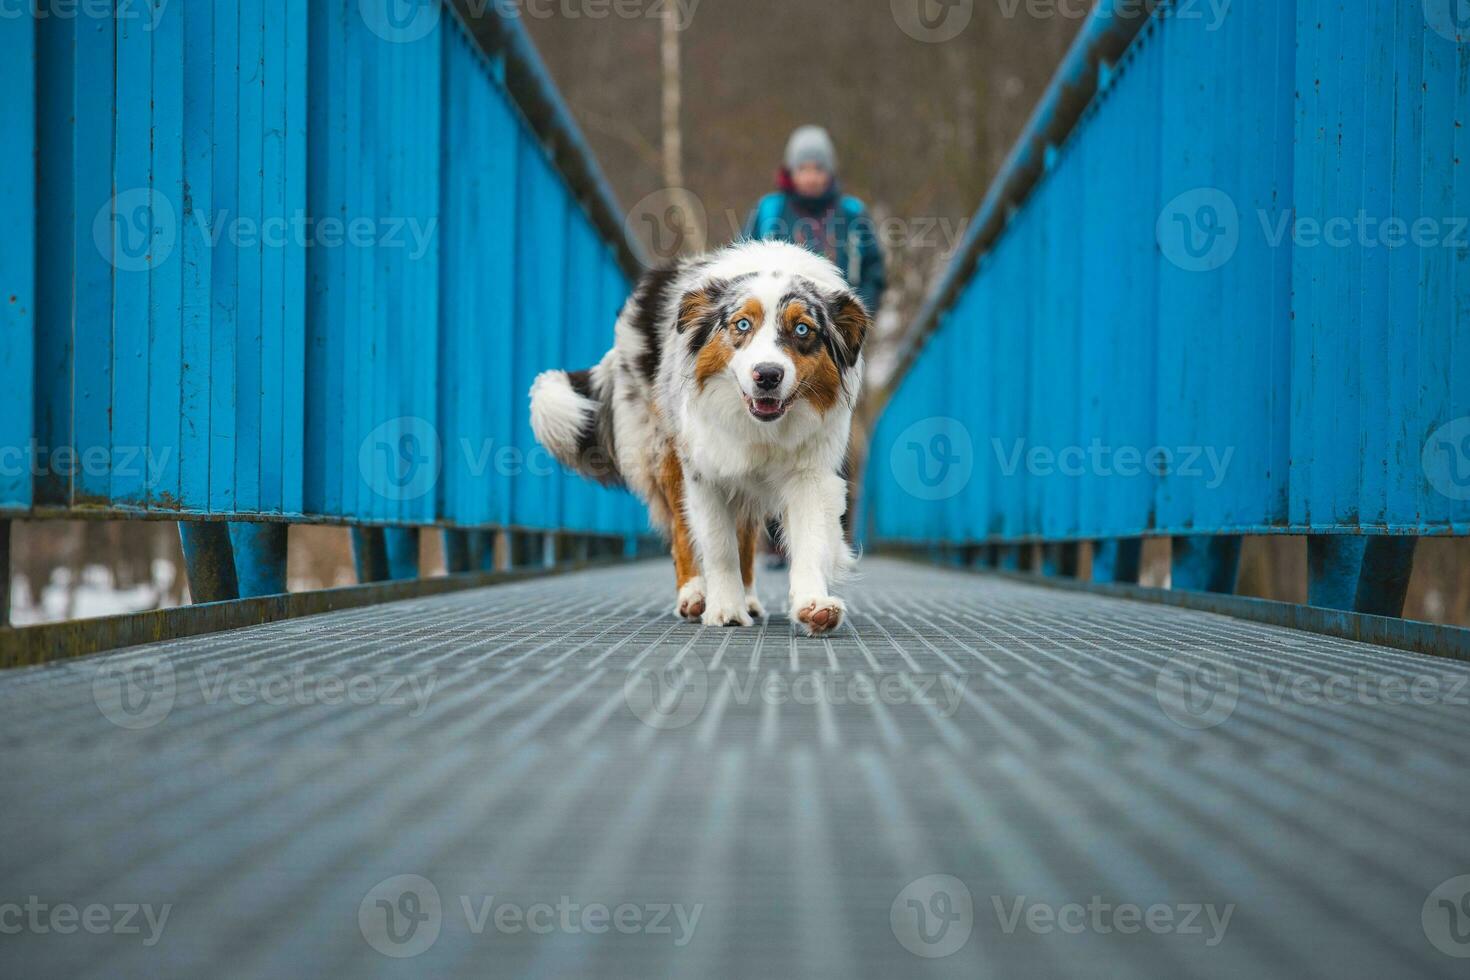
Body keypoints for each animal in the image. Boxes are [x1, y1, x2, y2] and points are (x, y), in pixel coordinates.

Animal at [532, 242, 864, 640]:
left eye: (802, 329)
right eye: (742, 324)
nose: (768, 375)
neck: (760, 428)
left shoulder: (809, 473)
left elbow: (810, 540)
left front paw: (813, 606)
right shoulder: (704, 470)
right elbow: (718, 545)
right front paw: (725, 609)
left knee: (745, 534)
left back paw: (748, 596)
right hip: (664, 447)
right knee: (682, 529)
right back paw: (694, 594)